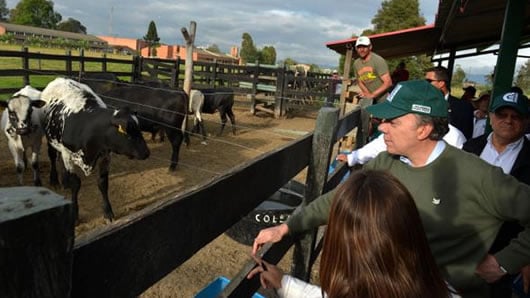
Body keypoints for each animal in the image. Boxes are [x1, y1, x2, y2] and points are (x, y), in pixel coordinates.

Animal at [40, 77, 148, 221]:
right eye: (127, 130)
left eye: (138, 128)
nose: (146, 152)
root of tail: (59, 79)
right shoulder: (68, 154)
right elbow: (75, 183)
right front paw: (74, 212)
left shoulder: (105, 157)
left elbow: (103, 183)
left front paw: (108, 211)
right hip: (50, 138)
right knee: (52, 156)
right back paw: (54, 180)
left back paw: (64, 181)